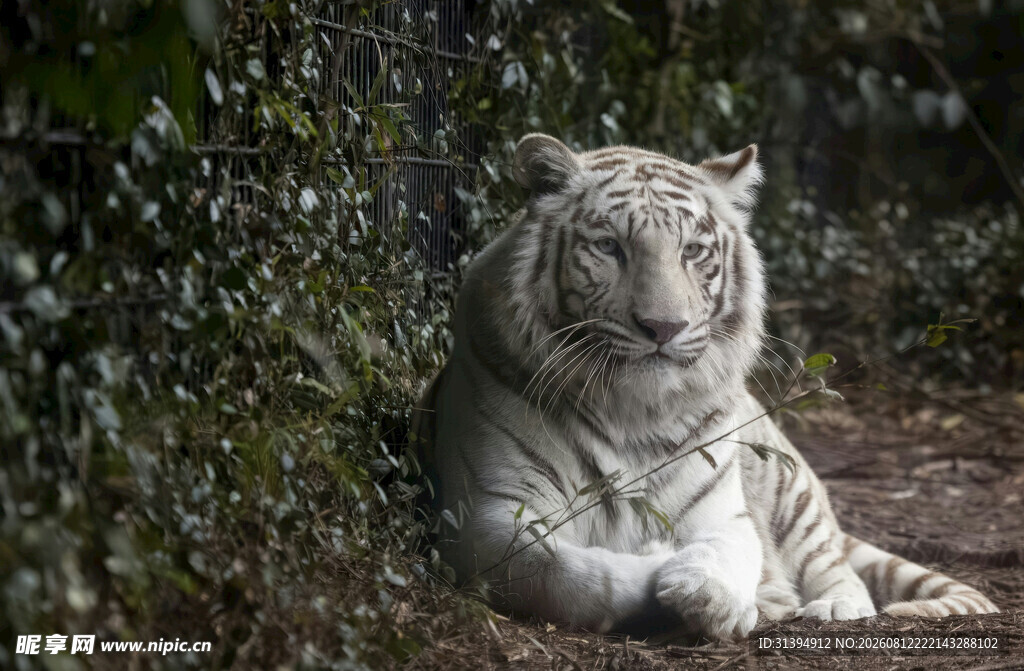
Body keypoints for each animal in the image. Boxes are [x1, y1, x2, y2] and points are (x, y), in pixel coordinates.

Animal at [416, 133, 998, 641]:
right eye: (608, 246)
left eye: (692, 251)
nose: (663, 327)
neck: (629, 410)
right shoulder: (488, 516)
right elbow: (564, 572)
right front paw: (656, 563)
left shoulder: (724, 513)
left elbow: (726, 551)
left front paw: (710, 596)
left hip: (790, 489)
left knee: (837, 567)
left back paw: (829, 607)